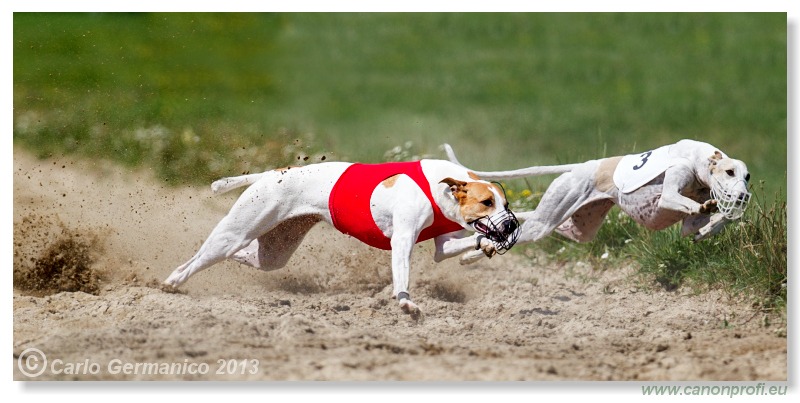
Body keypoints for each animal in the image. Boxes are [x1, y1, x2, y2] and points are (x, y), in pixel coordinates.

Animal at [166, 159, 520, 318]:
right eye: (486, 202)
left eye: (505, 204)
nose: (509, 227)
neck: (440, 185)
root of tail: (272, 172)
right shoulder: (403, 239)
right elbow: (402, 272)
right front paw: (406, 303)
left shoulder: (444, 243)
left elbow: (447, 250)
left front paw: (486, 247)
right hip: (240, 227)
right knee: (200, 258)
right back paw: (171, 283)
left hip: (274, 249)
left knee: (248, 256)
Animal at [444, 140, 752, 264]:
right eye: (729, 172)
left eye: (747, 176)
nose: (743, 195)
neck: (700, 160)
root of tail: (582, 166)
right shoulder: (671, 191)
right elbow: (689, 203)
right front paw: (708, 211)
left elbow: (710, 222)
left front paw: (707, 230)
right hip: (550, 217)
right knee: (521, 231)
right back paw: (472, 255)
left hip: (577, 227)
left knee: (528, 220)